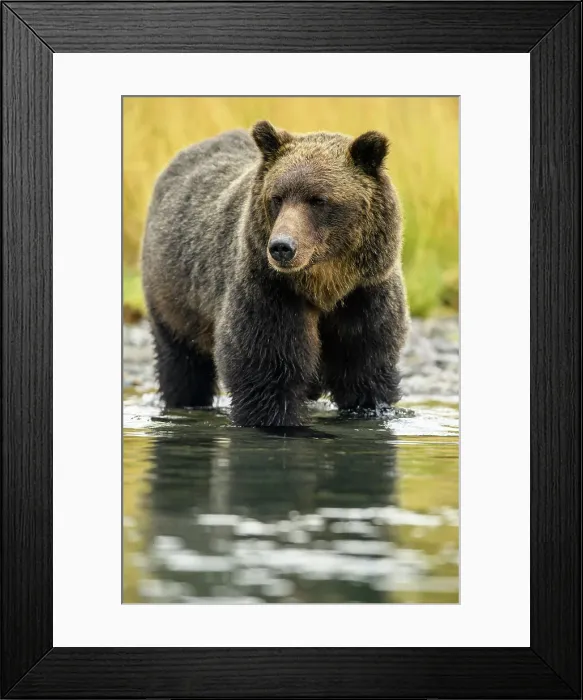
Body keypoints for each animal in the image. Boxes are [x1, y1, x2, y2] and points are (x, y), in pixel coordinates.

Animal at [141, 120, 409, 427]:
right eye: (277, 198)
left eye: (319, 200)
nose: (282, 247)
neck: (325, 285)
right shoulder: (270, 291)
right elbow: (266, 368)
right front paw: (275, 419)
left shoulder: (364, 294)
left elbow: (364, 368)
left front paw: (370, 408)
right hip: (174, 299)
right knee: (182, 365)